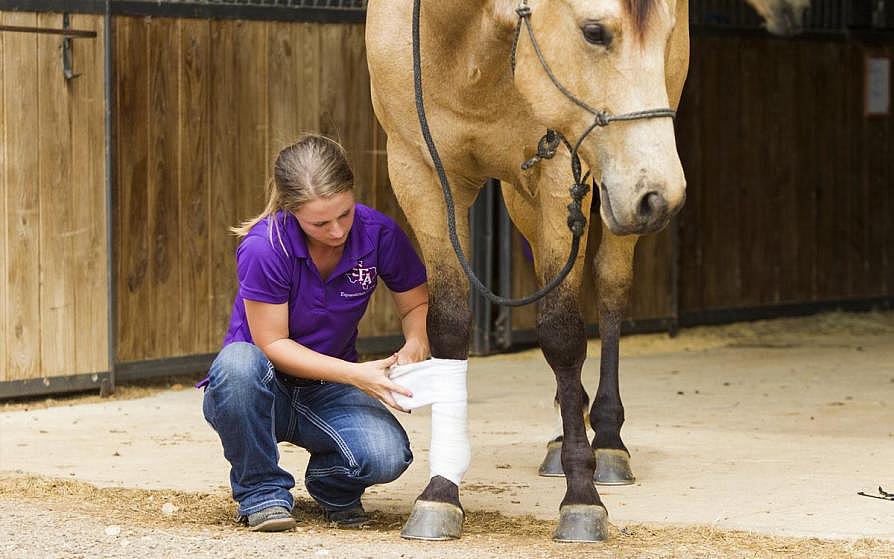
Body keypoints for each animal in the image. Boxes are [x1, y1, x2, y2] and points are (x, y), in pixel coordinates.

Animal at [367, 0, 808, 543]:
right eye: (594, 32)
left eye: (665, 34)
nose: (663, 196)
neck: (460, 39)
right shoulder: (420, 174)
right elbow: (448, 328)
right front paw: (440, 494)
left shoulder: (560, 169)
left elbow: (562, 335)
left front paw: (582, 498)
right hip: (534, 192)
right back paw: (562, 430)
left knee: (609, 290)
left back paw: (609, 442)